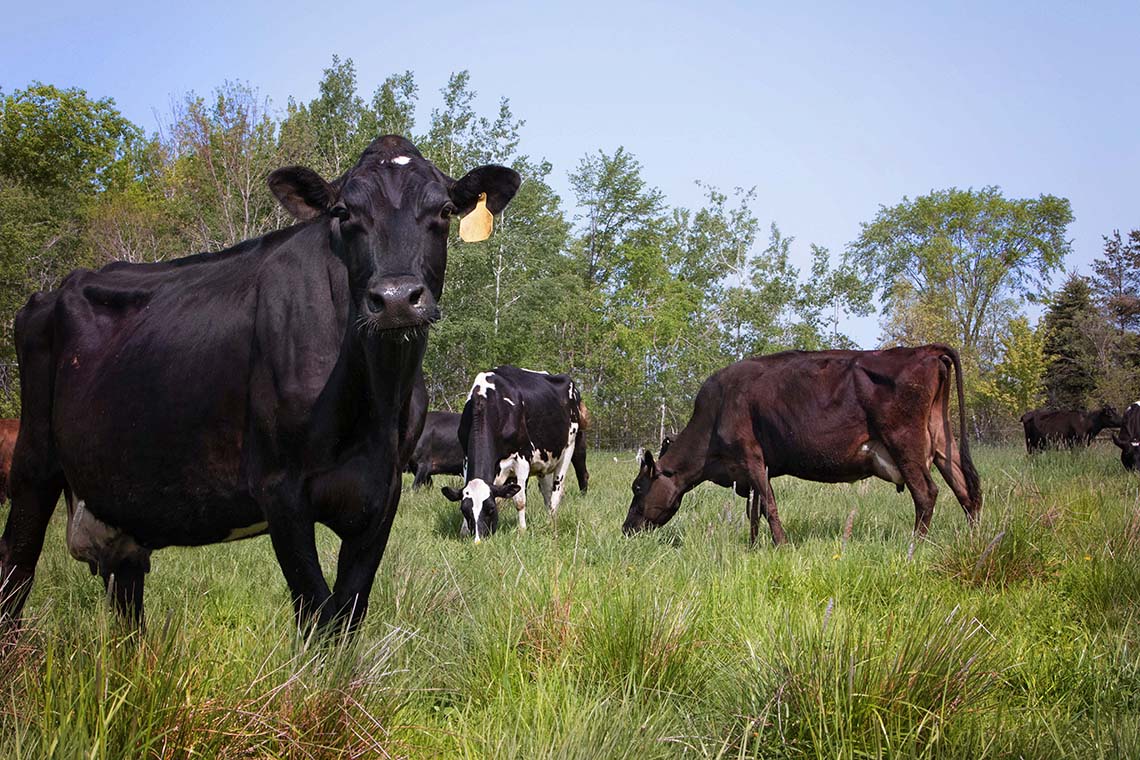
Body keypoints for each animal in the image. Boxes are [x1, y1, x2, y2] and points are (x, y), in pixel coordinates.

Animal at [0, 135, 519, 628]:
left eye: (445, 211)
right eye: (343, 212)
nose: (394, 299)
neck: (375, 397)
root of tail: (51, 292)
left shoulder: (383, 491)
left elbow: (349, 611)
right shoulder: (280, 490)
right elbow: (317, 613)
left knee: (125, 588)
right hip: (33, 463)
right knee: (16, 567)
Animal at [442, 366, 592, 540]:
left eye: (490, 509)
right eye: (464, 510)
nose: (479, 539)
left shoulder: (522, 458)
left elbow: (520, 500)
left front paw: (522, 530)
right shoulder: (466, 458)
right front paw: (464, 531)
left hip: (572, 446)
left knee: (565, 487)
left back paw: (554, 522)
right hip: (544, 462)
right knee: (547, 493)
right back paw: (548, 520)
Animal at [620, 348, 984, 544]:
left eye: (638, 487)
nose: (626, 529)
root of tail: (924, 350)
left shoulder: (751, 456)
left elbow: (769, 507)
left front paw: (781, 546)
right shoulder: (755, 469)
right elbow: (755, 512)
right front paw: (753, 548)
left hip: (905, 443)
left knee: (927, 493)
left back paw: (915, 545)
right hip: (942, 439)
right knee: (967, 491)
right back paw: (974, 540)